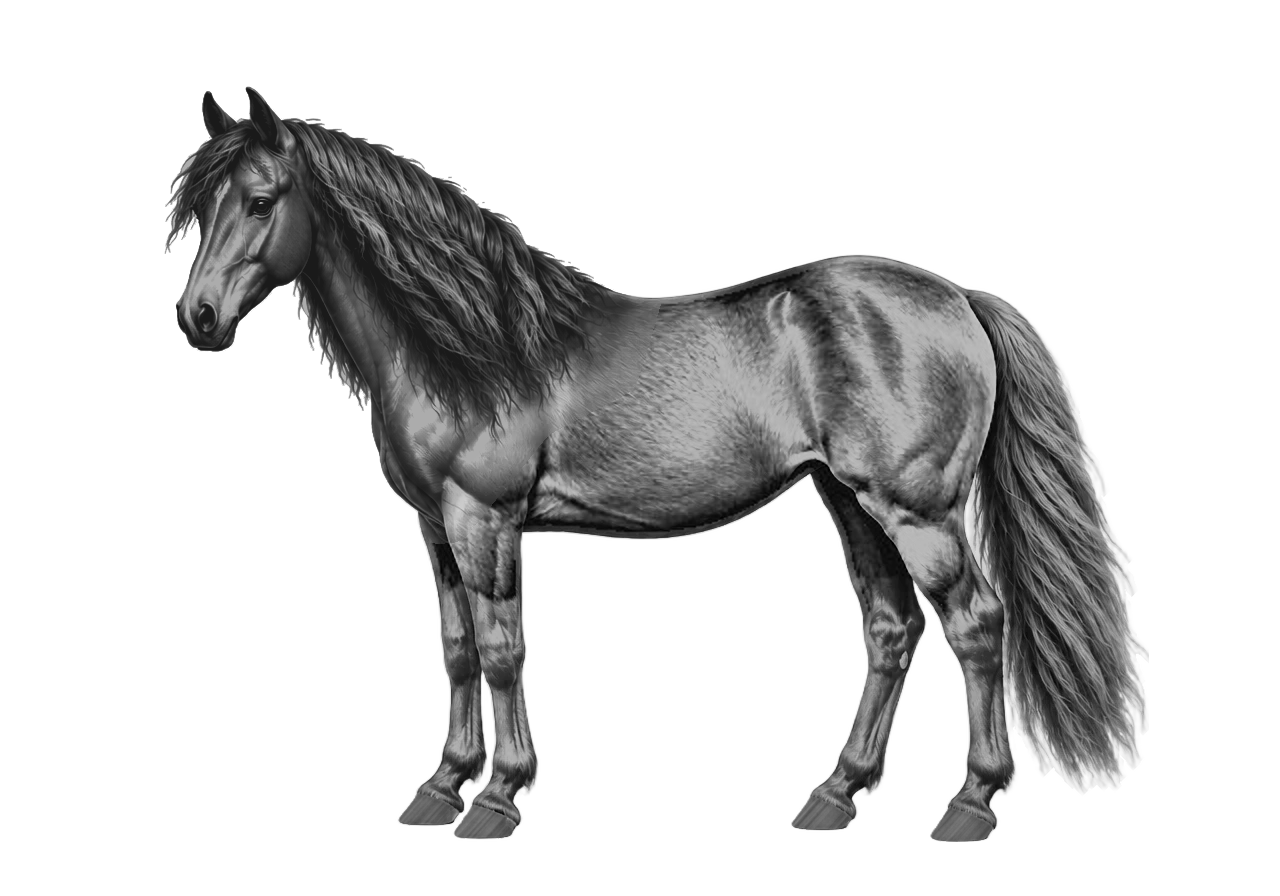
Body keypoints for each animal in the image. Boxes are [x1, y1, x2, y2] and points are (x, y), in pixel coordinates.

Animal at [171, 90, 1143, 841]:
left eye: (261, 199)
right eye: (198, 204)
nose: (200, 318)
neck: (474, 348)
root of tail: (957, 298)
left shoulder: (486, 522)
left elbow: (502, 650)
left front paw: (499, 795)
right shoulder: (435, 529)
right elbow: (455, 650)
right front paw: (441, 785)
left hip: (917, 510)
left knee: (975, 624)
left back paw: (970, 803)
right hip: (851, 501)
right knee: (890, 628)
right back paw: (835, 792)